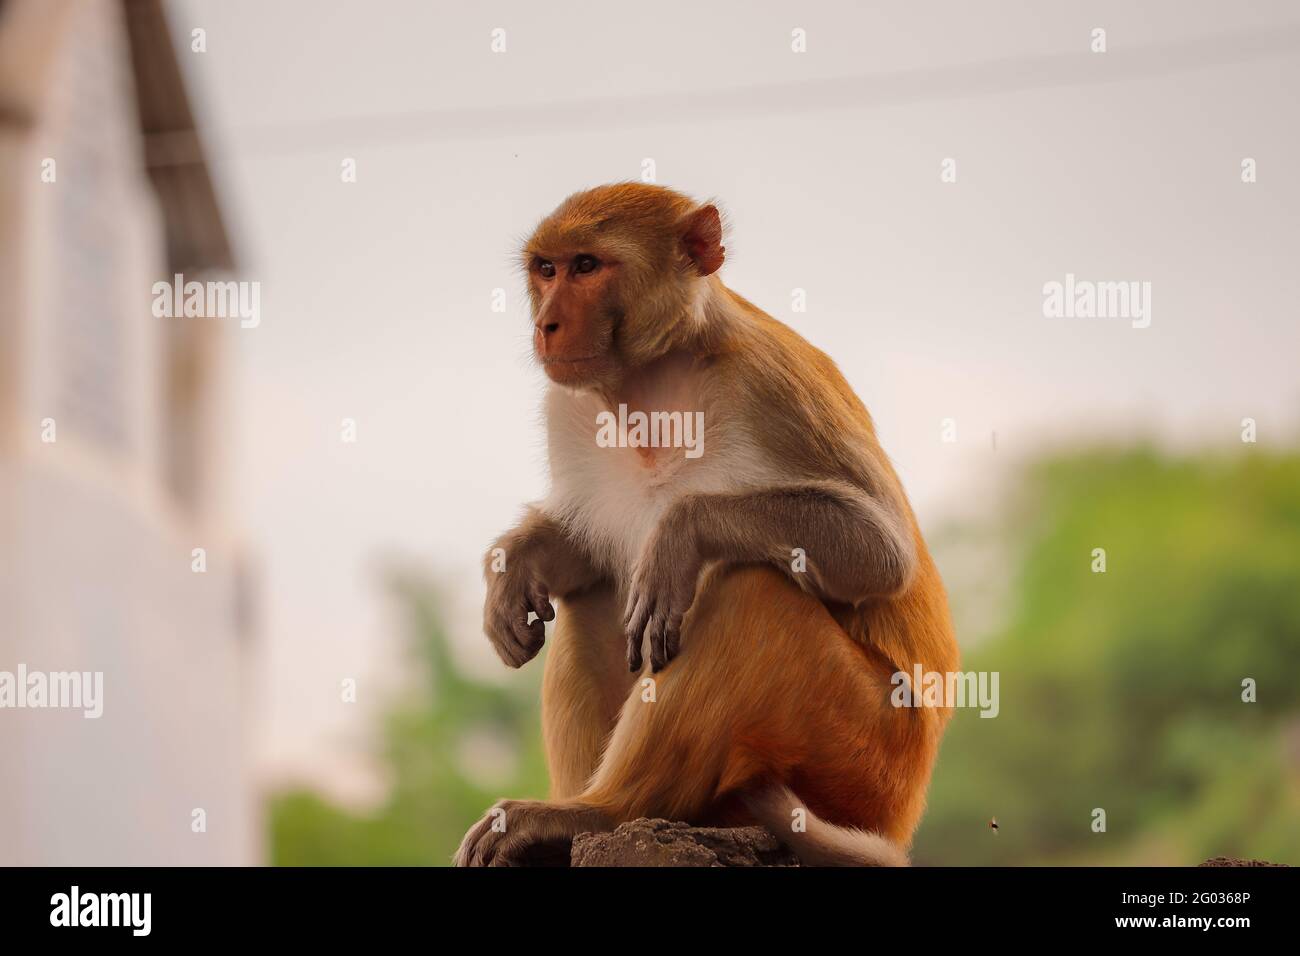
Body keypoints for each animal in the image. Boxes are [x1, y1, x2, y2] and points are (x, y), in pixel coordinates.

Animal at [454, 179, 956, 868]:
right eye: (546, 269)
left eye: (587, 266)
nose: (545, 324)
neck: (654, 379)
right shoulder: (568, 404)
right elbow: (585, 553)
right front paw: (514, 566)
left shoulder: (770, 382)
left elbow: (880, 551)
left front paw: (679, 533)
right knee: (594, 595)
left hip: (866, 756)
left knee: (751, 591)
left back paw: (600, 810)